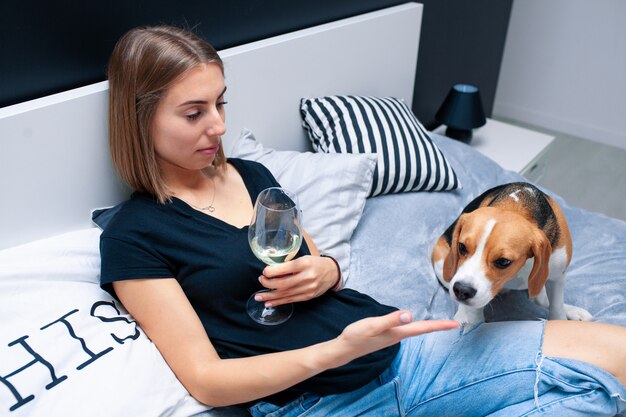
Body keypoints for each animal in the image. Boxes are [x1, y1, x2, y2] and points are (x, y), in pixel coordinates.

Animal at [428, 183, 588, 324]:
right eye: (461, 247)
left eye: (503, 261)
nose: (462, 290)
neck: (515, 207)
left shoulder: (557, 276)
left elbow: (556, 307)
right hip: (440, 262)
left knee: (541, 299)